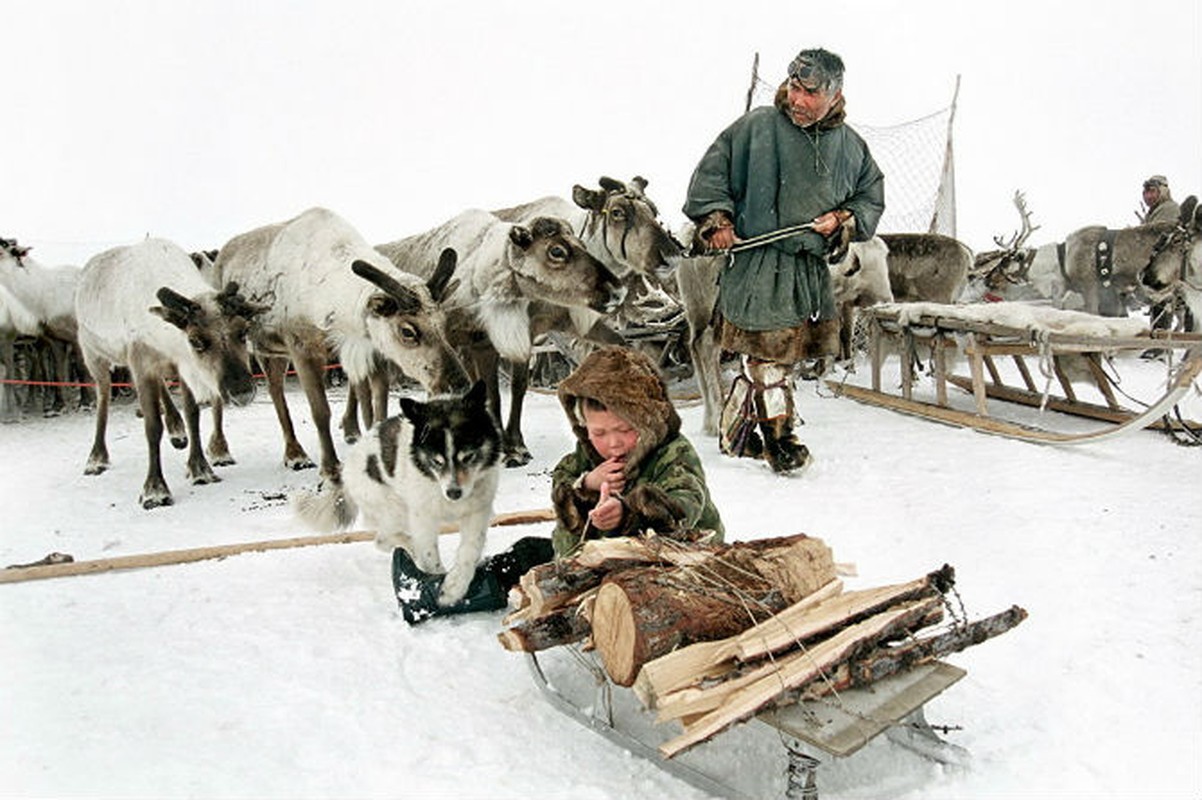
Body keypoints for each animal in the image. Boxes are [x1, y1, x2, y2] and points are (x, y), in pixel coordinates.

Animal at [295, 381, 502, 605]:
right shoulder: (423, 517)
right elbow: (429, 553)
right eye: (436, 461)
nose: (454, 493)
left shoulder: (477, 511)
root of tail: (346, 470)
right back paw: (410, 546)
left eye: (469, 457)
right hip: (394, 507)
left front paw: (454, 586)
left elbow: (470, 549)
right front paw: (436, 580)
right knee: (382, 538)